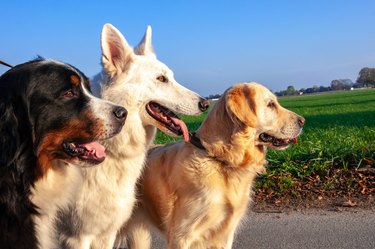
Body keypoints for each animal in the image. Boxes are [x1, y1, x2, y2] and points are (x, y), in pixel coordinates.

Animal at [56, 23, 209, 249]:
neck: (110, 148)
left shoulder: (106, 233)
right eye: (161, 79)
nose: (205, 104)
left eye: (170, 77)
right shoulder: (76, 237)